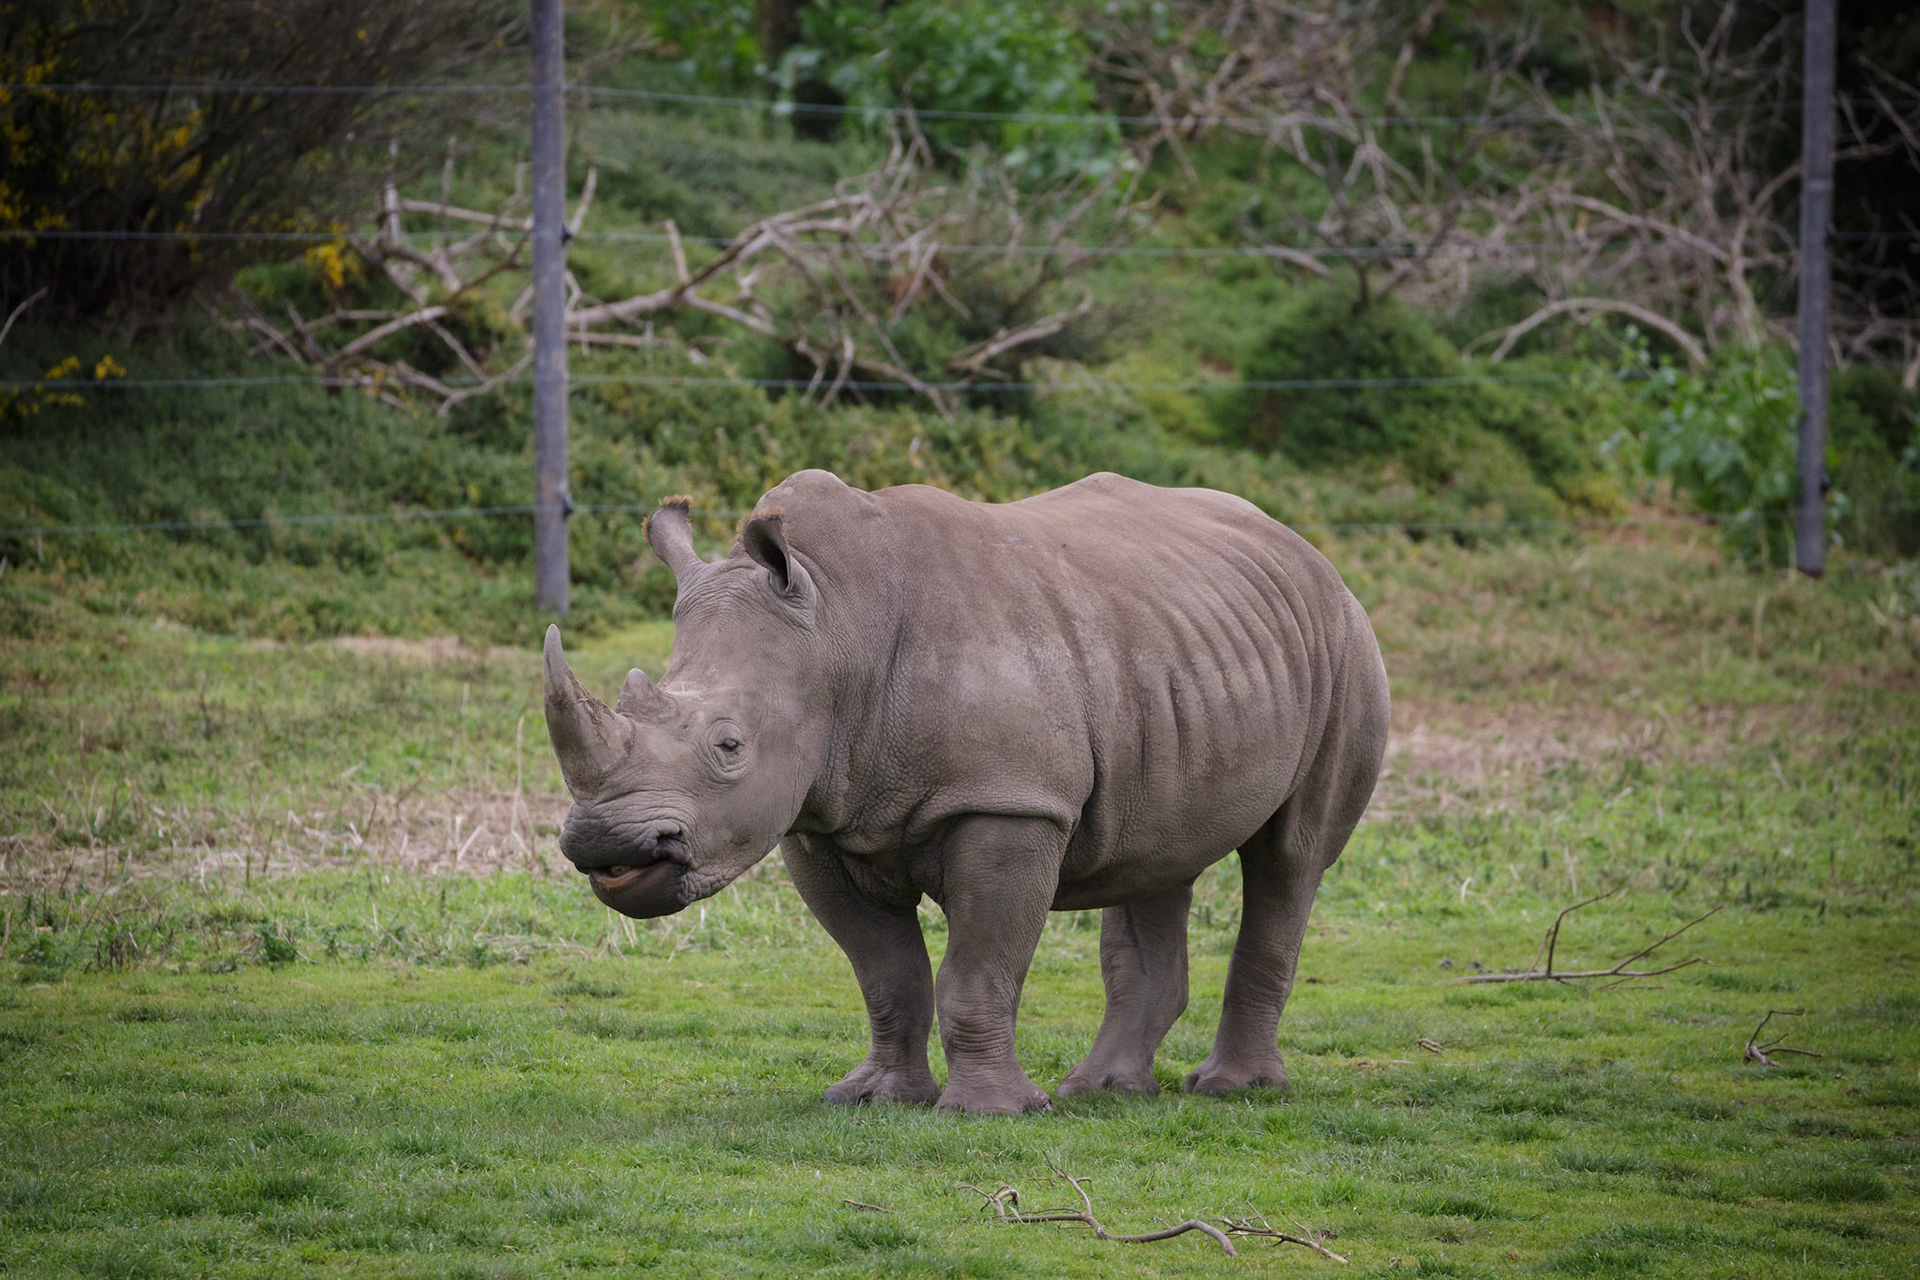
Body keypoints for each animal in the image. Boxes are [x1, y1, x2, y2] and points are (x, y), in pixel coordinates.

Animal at [543, 469, 1389, 1114]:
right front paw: (875, 1098)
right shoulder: (818, 819)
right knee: (1158, 855)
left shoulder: (1008, 802)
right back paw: (1104, 1092)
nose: (606, 843)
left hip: (1344, 641)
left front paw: (992, 1112)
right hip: (1176, 650)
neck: (838, 629)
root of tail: (1305, 549)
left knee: (1290, 859)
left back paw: (1231, 1090)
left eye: (729, 747)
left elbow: (979, 967)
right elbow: (884, 970)